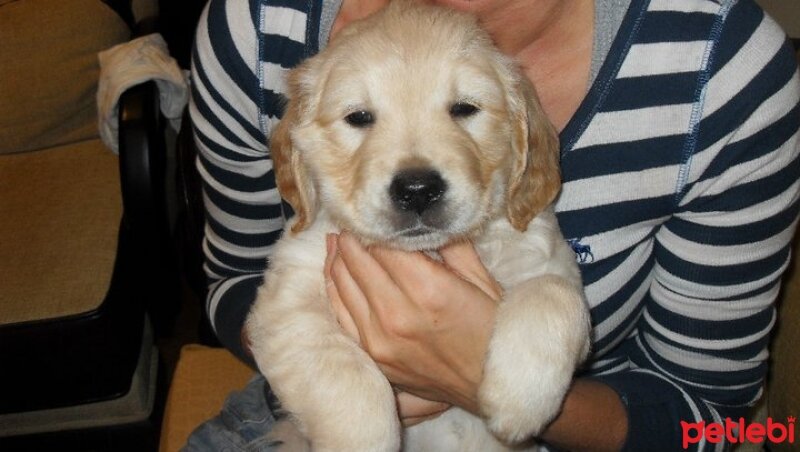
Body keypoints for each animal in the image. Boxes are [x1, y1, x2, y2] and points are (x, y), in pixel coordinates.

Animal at [247, 1, 592, 450]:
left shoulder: (547, 259)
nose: (417, 190)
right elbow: (344, 371)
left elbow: (555, 294)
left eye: (464, 108)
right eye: (359, 117)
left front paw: (519, 402)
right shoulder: (287, 303)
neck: (428, 252)